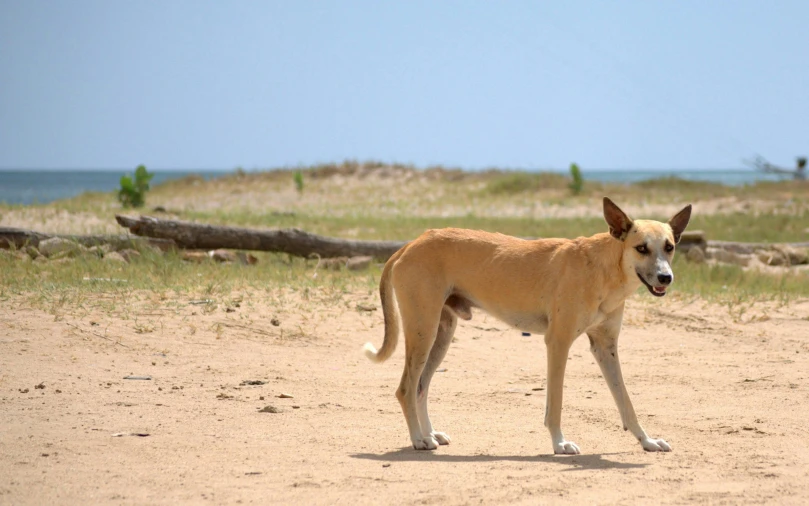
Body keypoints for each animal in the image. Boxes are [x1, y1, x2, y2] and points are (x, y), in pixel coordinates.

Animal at [362, 197, 692, 454]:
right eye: (641, 248)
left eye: (669, 247)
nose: (665, 278)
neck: (605, 268)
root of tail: (409, 245)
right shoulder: (558, 343)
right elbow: (555, 403)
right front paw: (560, 443)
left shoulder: (605, 346)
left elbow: (625, 400)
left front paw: (646, 441)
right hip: (423, 332)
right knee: (406, 388)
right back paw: (419, 439)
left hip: (440, 334)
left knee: (421, 387)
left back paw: (429, 433)